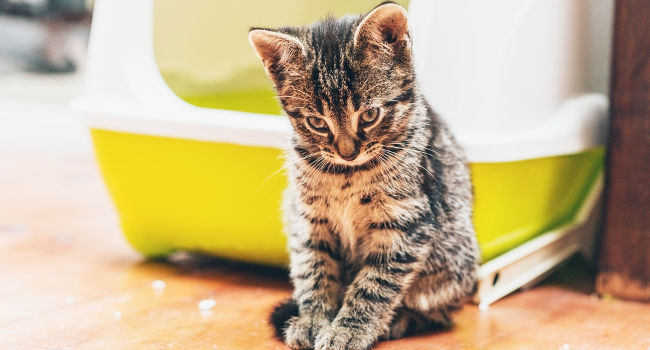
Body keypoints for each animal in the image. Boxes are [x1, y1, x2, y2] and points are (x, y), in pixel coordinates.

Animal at [248, 2, 476, 350]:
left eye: (369, 115)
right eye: (317, 122)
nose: (347, 152)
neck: (347, 174)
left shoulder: (406, 222)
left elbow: (375, 285)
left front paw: (349, 330)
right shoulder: (308, 219)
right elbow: (314, 270)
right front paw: (313, 320)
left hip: (455, 261)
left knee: (439, 311)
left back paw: (401, 320)